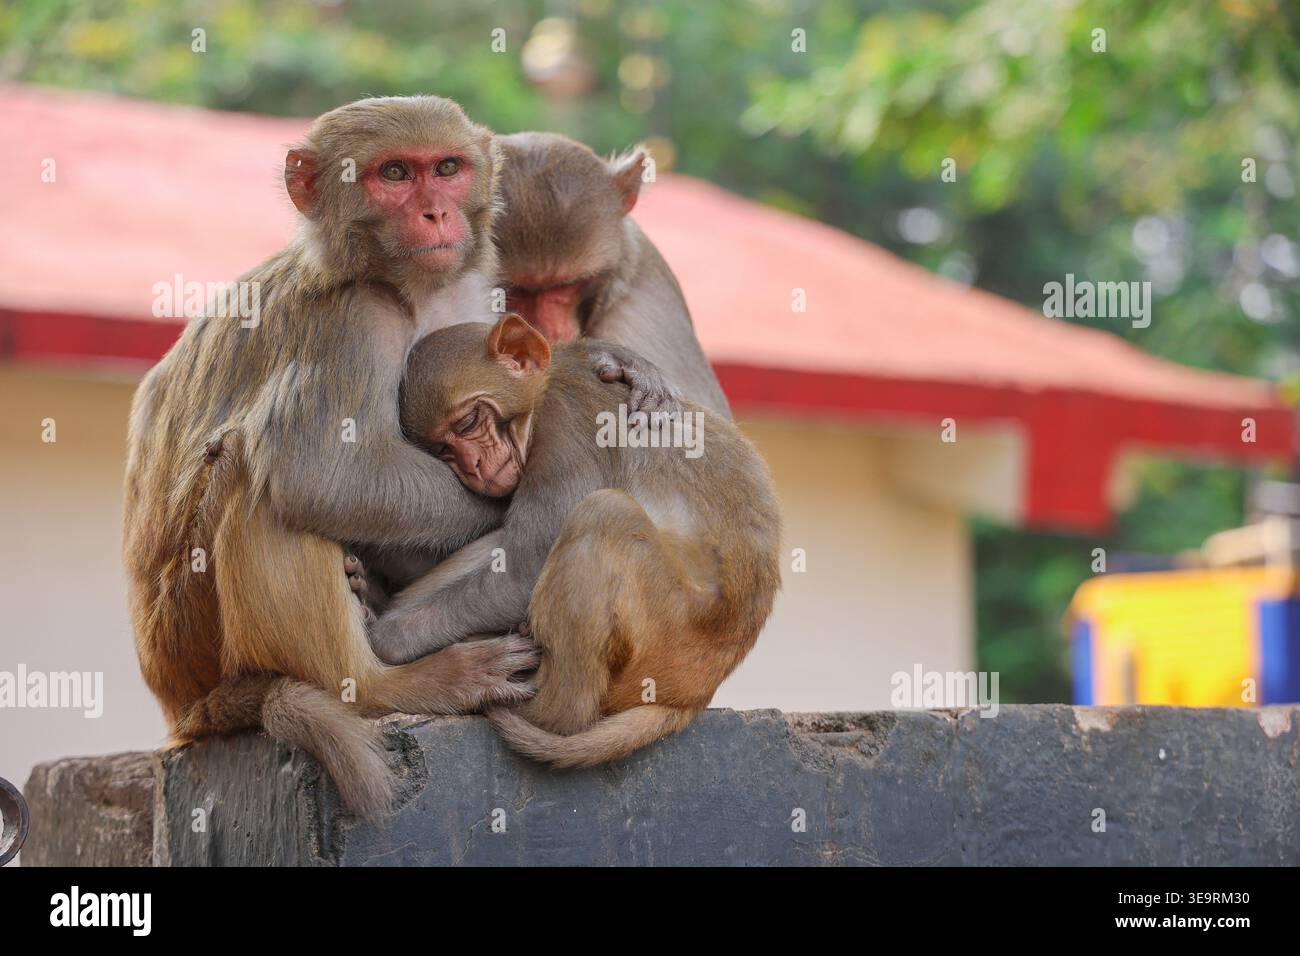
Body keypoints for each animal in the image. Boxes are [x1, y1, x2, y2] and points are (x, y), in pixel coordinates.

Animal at [122, 97, 672, 819]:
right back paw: (386, 687)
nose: (434, 214)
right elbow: (323, 474)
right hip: (191, 636)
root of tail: (178, 704)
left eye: (447, 169)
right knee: (253, 467)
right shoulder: (352, 316)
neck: (411, 290)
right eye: (393, 175)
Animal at [367, 314, 781, 767]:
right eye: (443, 449)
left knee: (604, 514)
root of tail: (698, 691)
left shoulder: (562, 433)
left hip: (671, 638)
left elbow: (523, 571)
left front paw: (386, 640)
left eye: (467, 423)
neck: (541, 397)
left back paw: (543, 713)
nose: (473, 466)